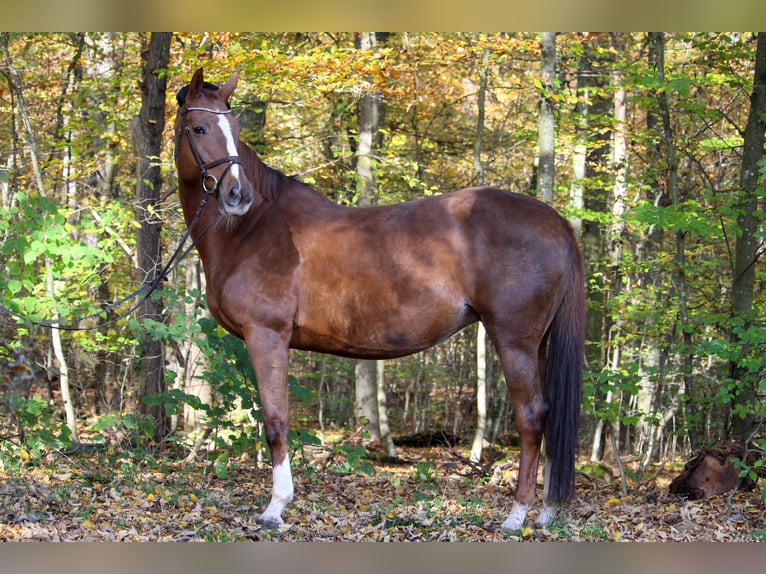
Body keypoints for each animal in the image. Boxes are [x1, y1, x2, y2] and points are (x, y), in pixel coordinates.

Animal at [174, 68, 584, 536]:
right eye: (199, 127)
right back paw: (547, 510)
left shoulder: (266, 337)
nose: (237, 195)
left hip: (515, 341)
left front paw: (276, 507)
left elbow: (276, 423)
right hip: (539, 343)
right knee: (550, 417)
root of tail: (554, 220)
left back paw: (517, 515)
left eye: (236, 129)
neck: (252, 228)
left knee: (532, 417)